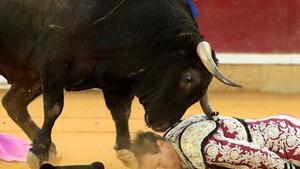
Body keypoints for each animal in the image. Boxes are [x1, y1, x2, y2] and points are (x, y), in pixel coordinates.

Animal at [0, 0, 240, 166]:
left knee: (12, 103)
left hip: (30, 76)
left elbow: (121, 112)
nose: (162, 124)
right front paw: (37, 153)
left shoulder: (117, 79)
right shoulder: (54, 65)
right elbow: (54, 108)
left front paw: (127, 151)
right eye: (189, 78)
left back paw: (50, 147)